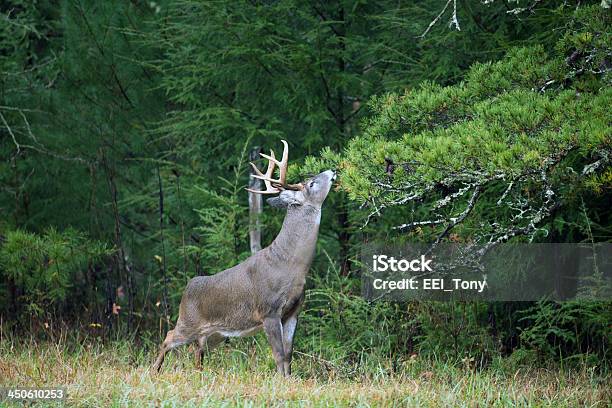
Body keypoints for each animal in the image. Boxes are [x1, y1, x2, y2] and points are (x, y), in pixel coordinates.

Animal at [152, 140, 334, 376]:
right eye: (312, 183)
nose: (333, 171)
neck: (290, 265)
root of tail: (188, 288)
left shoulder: (294, 311)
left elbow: (288, 355)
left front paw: (290, 379)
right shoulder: (269, 310)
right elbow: (278, 354)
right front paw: (281, 381)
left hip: (215, 334)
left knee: (197, 351)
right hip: (187, 321)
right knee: (168, 337)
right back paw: (153, 371)